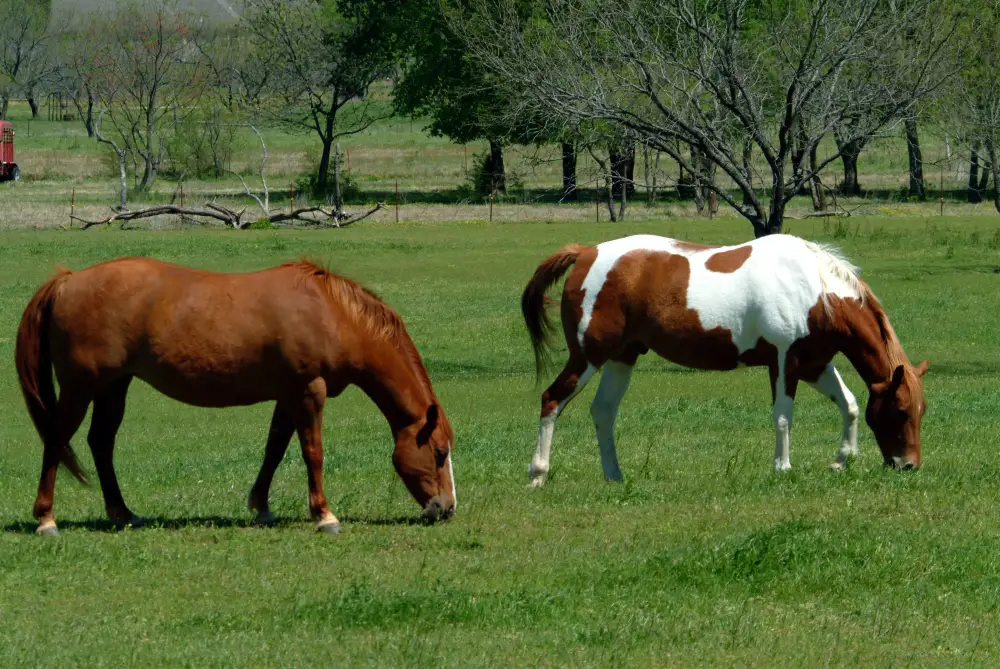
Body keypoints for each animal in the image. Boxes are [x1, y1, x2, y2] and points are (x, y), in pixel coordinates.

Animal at [15, 258, 458, 536]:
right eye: (439, 453)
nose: (446, 507)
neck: (331, 314)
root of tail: (69, 280)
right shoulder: (308, 390)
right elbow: (312, 452)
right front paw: (324, 515)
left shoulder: (288, 394)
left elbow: (274, 449)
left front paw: (261, 506)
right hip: (80, 387)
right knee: (57, 440)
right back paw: (46, 520)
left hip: (113, 386)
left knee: (101, 443)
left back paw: (123, 514)